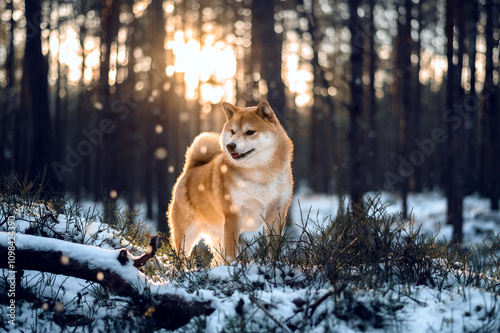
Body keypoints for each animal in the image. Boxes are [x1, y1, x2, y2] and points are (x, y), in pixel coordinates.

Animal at [168, 100, 292, 264]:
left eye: (250, 132)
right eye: (232, 131)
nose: (230, 145)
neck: (261, 175)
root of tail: (190, 169)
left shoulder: (276, 213)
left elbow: (274, 246)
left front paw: (276, 264)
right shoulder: (234, 215)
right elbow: (231, 253)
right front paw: (233, 267)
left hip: (217, 235)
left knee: (215, 260)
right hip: (187, 235)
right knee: (180, 259)